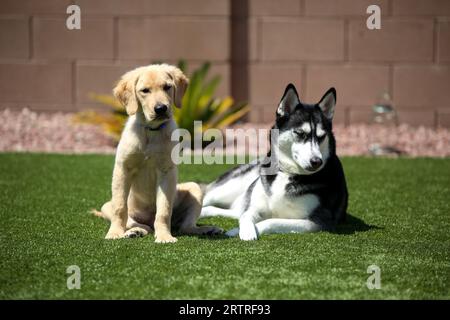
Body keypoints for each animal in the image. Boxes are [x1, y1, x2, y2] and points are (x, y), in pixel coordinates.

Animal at [95, 63, 221, 241]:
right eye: (145, 90)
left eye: (167, 87)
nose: (161, 109)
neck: (151, 131)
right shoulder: (122, 168)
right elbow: (120, 208)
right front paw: (115, 233)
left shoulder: (166, 171)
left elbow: (164, 210)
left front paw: (164, 236)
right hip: (107, 205)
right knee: (139, 223)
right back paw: (134, 231)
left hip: (194, 188)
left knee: (185, 226)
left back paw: (206, 229)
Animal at [200, 84, 348, 239]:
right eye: (300, 133)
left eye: (321, 136)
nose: (316, 161)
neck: (287, 173)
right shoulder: (254, 208)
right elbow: (246, 216)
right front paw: (245, 230)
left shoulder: (316, 222)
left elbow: (272, 221)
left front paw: (238, 231)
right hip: (228, 188)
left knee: (215, 209)